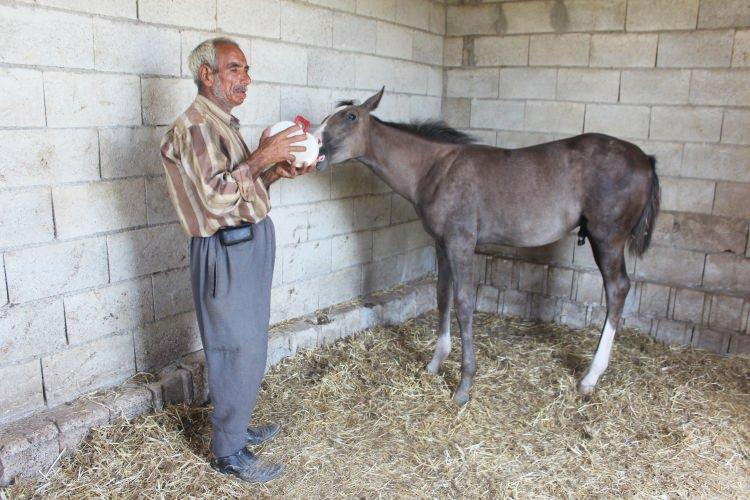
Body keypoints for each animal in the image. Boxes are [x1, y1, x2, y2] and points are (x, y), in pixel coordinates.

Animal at [314, 88, 660, 404]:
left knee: (617, 289)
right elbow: (443, 294)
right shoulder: (442, 243)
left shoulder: (461, 242)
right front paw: (435, 363)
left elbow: (465, 302)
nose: (314, 142)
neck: (434, 169)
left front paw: (464, 385)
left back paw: (590, 377)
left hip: (607, 237)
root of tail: (645, 159)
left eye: (350, 116)